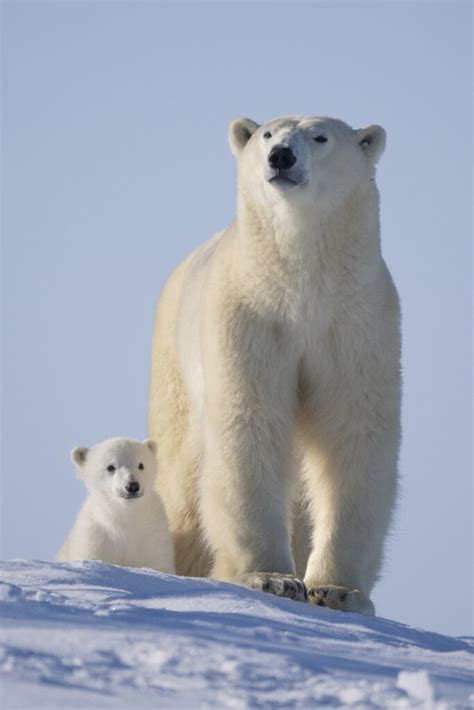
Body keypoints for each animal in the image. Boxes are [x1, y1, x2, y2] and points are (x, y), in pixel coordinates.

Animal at [57, 436, 176, 576]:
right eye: (110, 467)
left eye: (141, 465)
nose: (132, 486)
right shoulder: (96, 538)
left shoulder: (152, 536)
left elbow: (158, 563)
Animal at [148, 114, 400, 616]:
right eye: (267, 133)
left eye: (321, 137)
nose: (280, 156)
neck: (302, 285)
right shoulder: (251, 314)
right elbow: (251, 420)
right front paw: (271, 578)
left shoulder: (358, 322)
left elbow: (354, 433)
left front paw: (338, 590)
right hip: (175, 368)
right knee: (182, 481)